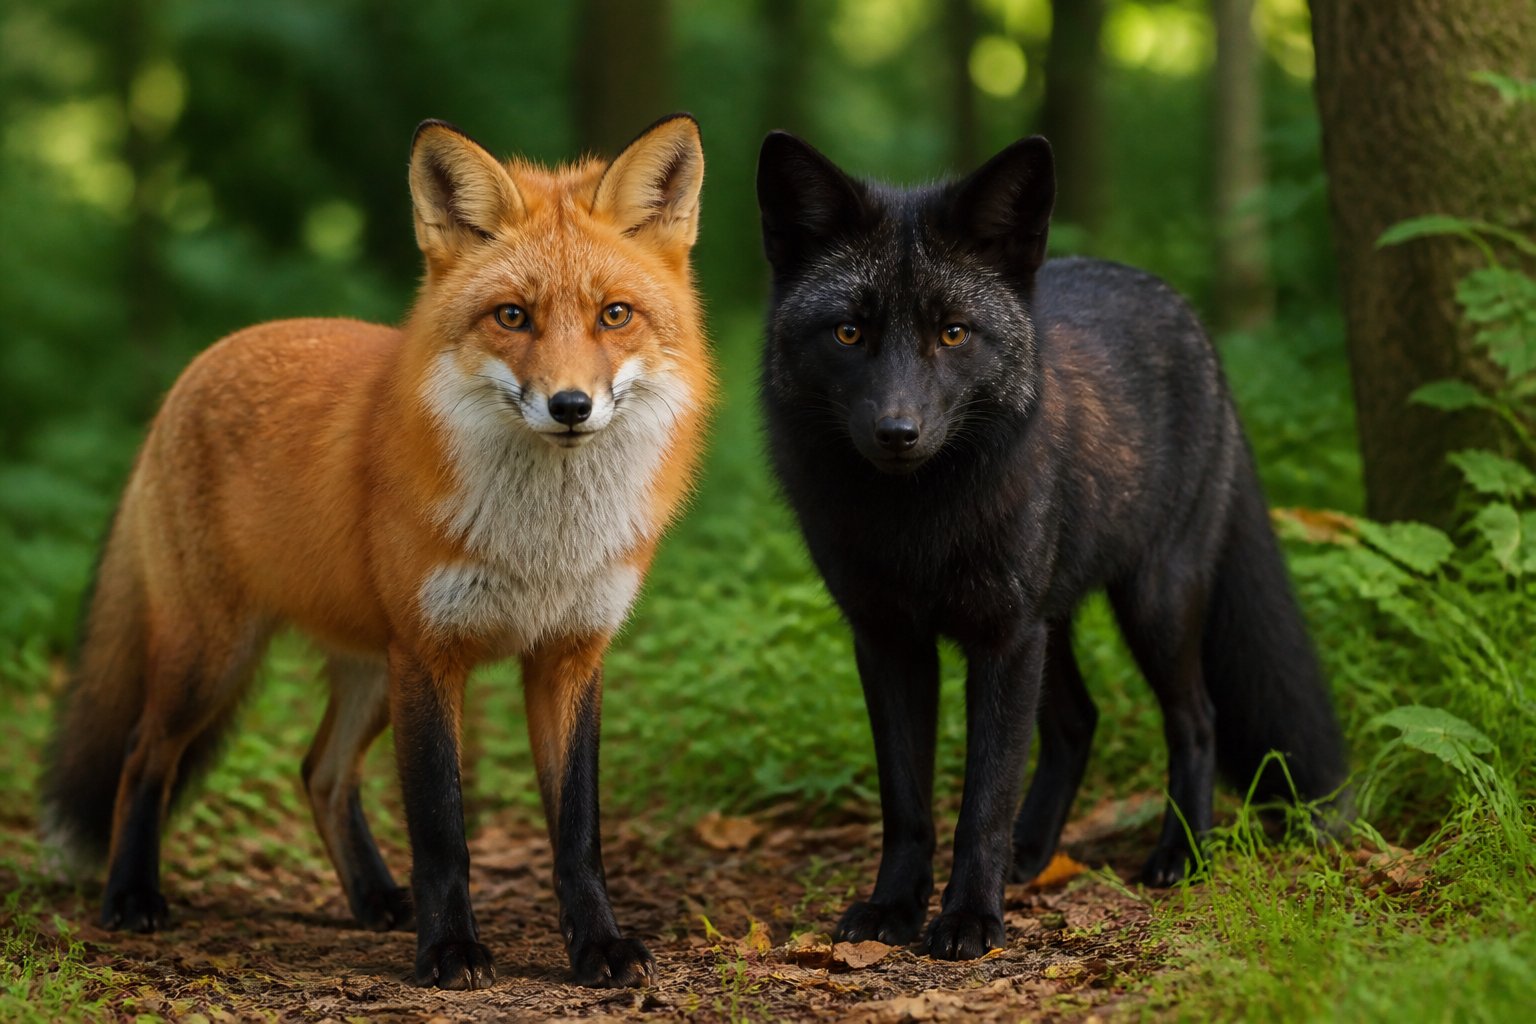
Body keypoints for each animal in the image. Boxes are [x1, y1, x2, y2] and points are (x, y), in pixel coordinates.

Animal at [41, 114, 714, 990]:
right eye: (512, 317)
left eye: (615, 314)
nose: (571, 405)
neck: (542, 544)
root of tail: (200, 364)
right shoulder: (430, 655)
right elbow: (441, 831)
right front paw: (450, 951)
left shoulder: (568, 655)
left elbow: (578, 835)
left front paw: (597, 946)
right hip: (214, 659)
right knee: (141, 754)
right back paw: (130, 895)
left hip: (368, 670)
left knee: (320, 772)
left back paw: (372, 898)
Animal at [755, 131, 1348, 960]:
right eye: (849, 332)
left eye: (953, 332)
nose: (899, 432)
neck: (917, 526)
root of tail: (1187, 315)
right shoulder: (890, 640)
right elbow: (907, 804)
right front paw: (895, 907)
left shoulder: (1003, 639)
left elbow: (982, 802)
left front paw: (969, 918)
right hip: (1054, 619)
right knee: (1079, 722)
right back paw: (1033, 855)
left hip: (1152, 604)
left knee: (1196, 718)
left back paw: (1181, 855)